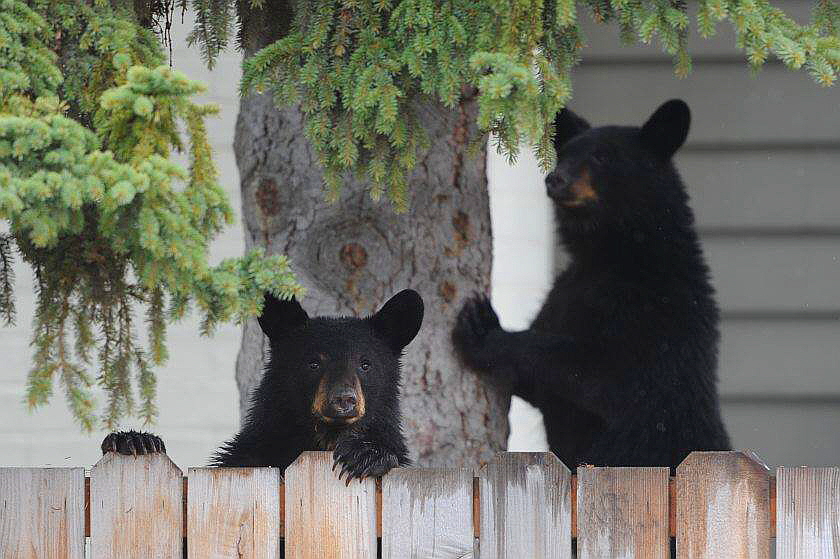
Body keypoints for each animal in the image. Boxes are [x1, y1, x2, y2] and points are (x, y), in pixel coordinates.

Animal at [101, 288, 424, 482]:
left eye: (366, 364)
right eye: (313, 363)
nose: (343, 399)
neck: (323, 439)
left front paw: (365, 455)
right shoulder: (251, 455)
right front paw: (133, 440)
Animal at [452, 99, 728, 468]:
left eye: (602, 157)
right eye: (564, 153)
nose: (555, 178)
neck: (608, 257)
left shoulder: (651, 320)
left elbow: (599, 372)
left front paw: (483, 331)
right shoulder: (564, 294)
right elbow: (534, 382)